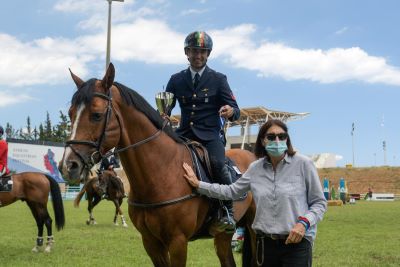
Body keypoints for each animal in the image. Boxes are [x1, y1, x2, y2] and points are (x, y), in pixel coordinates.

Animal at [59, 63, 258, 266]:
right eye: (70, 113)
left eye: (97, 115)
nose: (68, 166)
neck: (161, 172)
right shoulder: (150, 242)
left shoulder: (178, 242)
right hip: (223, 236)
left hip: (254, 229)